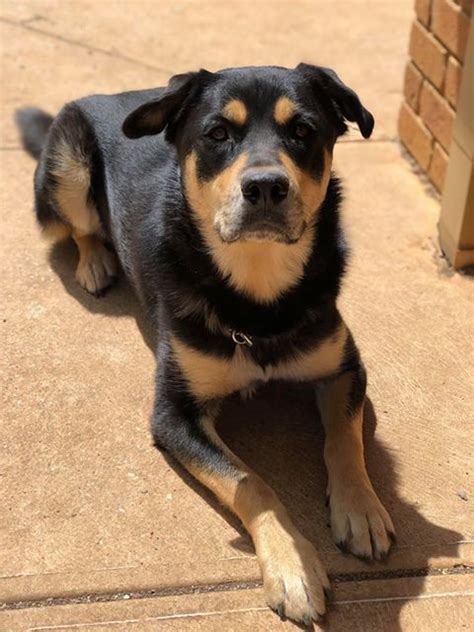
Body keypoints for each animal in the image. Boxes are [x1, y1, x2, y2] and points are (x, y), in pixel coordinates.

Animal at [17, 64, 396, 624]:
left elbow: (346, 439)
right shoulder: (175, 415)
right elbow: (250, 482)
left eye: (302, 131)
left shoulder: (345, 367)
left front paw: (361, 508)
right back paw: (95, 262)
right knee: (80, 227)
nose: (266, 186)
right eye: (218, 133)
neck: (258, 299)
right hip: (68, 172)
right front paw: (293, 566)